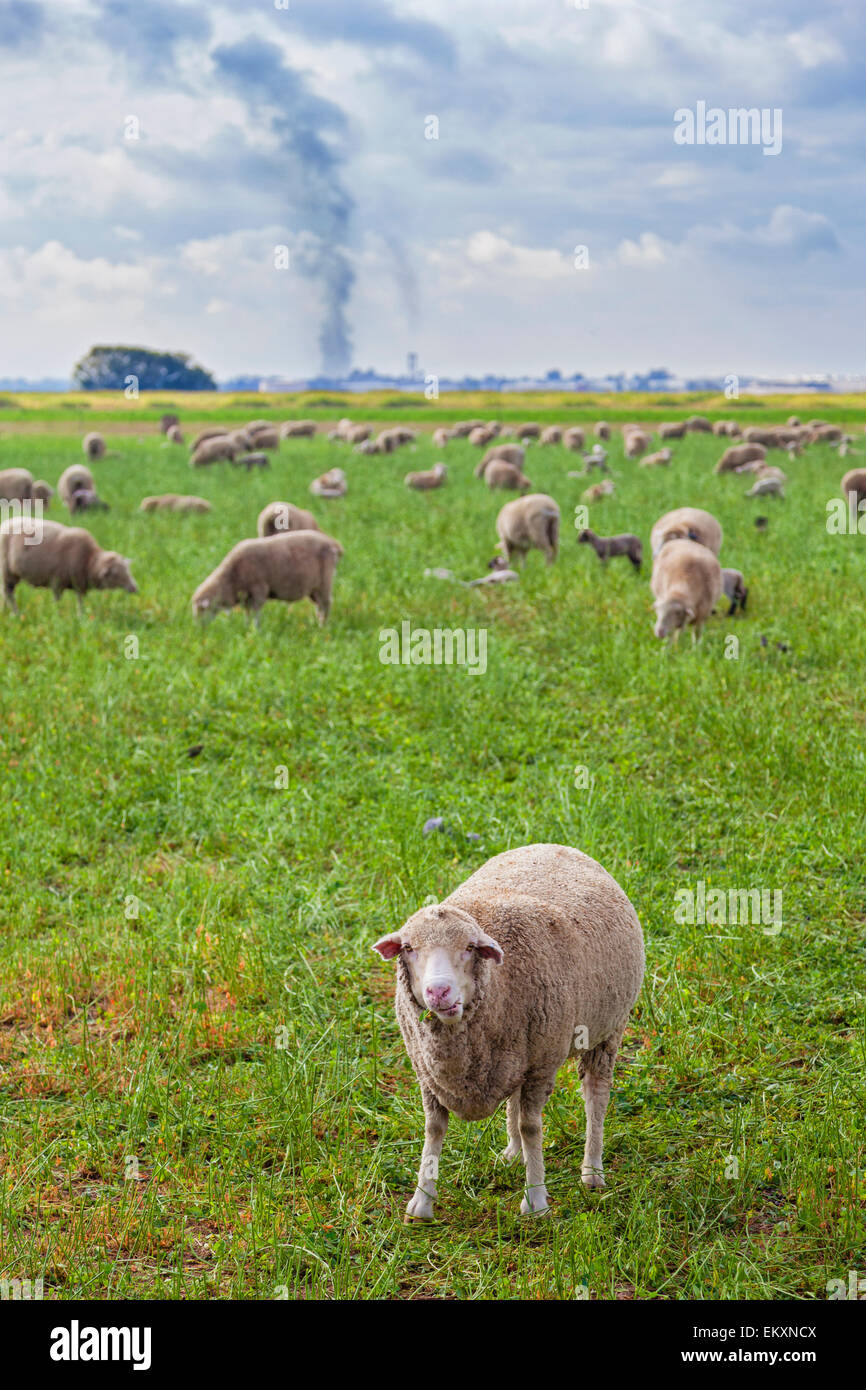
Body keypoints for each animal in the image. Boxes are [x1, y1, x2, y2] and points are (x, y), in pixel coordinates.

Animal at [0, 517, 136, 614]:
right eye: (116, 574)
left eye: (127, 570)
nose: (135, 588)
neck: (89, 561)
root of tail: (4, 524)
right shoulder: (57, 581)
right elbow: (58, 600)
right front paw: (58, 614)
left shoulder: (79, 583)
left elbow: (80, 600)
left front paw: (81, 616)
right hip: (7, 570)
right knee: (8, 592)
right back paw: (15, 613)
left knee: (6, 593)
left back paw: (6, 611)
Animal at [193, 528, 341, 628]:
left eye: (202, 610)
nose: (200, 630)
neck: (230, 579)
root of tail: (332, 544)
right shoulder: (247, 597)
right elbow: (248, 614)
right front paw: (247, 628)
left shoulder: (258, 590)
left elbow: (255, 614)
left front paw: (256, 631)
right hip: (314, 589)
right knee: (319, 605)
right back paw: (318, 623)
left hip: (324, 582)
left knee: (326, 604)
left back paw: (322, 626)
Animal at [369, 834, 644, 1217]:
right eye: (408, 948)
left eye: (470, 947)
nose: (439, 991)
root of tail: (551, 844)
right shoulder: (428, 1074)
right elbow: (433, 1129)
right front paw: (422, 1200)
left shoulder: (542, 1064)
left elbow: (532, 1128)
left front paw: (536, 1198)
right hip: (517, 1052)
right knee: (514, 1098)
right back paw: (513, 1153)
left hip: (607, 1031)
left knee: (596, 1095)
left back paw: (592, 1169)